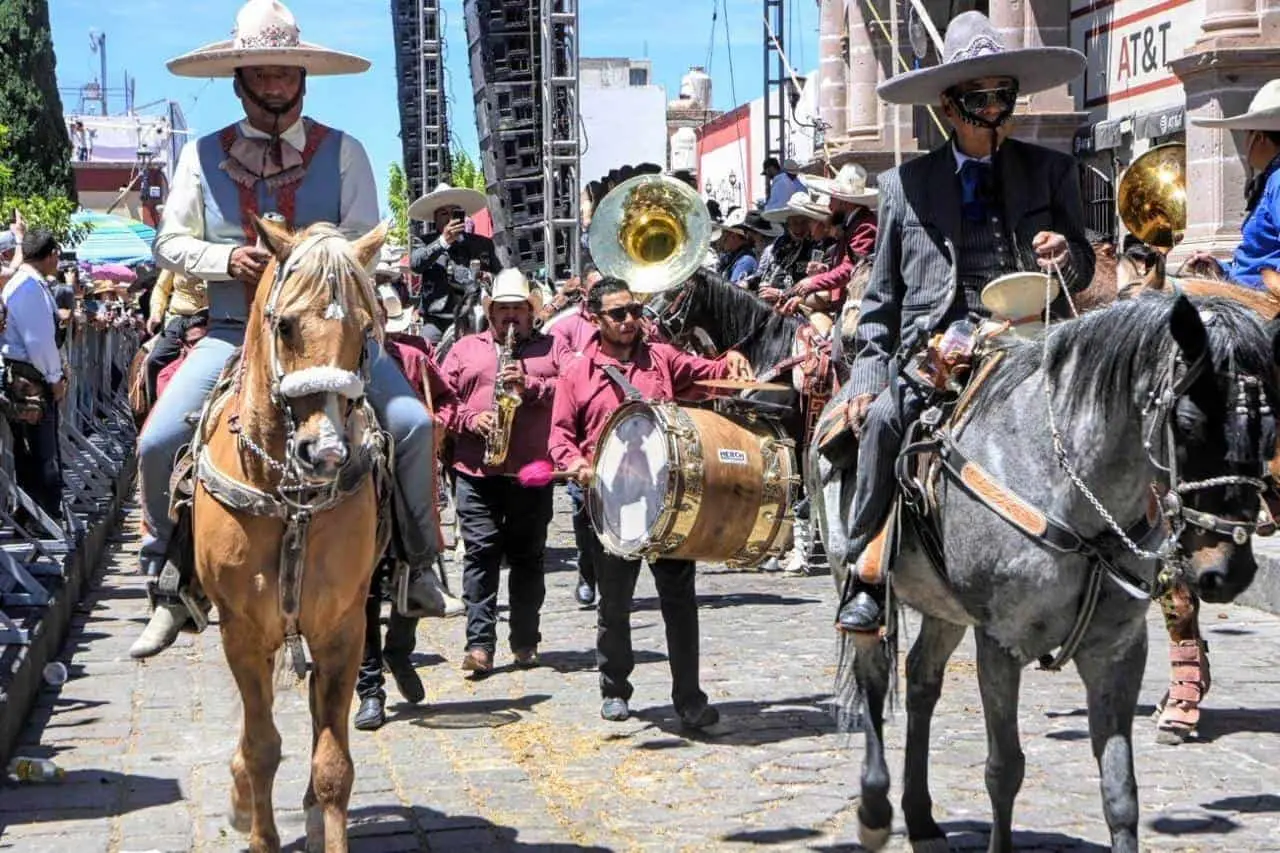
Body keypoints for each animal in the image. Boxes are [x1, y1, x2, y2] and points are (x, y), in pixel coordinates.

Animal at [192, 217, 386, 845]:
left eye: (366, 330)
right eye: (285, 324)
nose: (324, 452)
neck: (289, 498)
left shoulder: (343, 628)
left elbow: (332, 764)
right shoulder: (242, 633)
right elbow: (261, 748)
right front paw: (258, 830)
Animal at [808, 289, 1280, 845]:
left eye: (1271, 431)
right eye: (1186, 425)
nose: (1229, 569)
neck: (1070, 490)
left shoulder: (1117, 649)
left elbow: (1120, 790)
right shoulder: (1000, 643)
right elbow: (1004, 769)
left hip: (945, 608)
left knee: (922, 679)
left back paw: (920, 816)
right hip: (855, 577)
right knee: (875, 679)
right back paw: (877, 811)